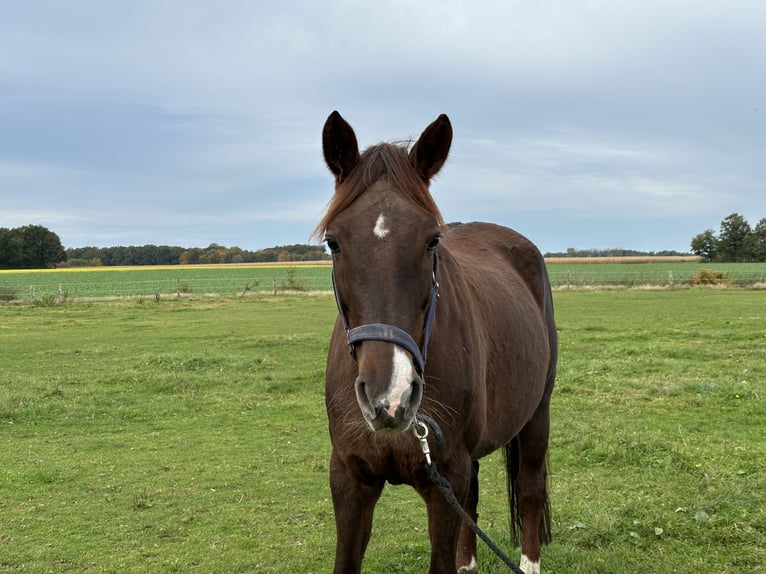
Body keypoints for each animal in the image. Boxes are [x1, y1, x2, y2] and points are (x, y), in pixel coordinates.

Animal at [316, 112, 560, 574]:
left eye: (432, 239)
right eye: (332, 242)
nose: (390, 397)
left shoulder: (444, 477)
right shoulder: (351, 479)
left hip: (537, 413)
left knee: (530, 490)